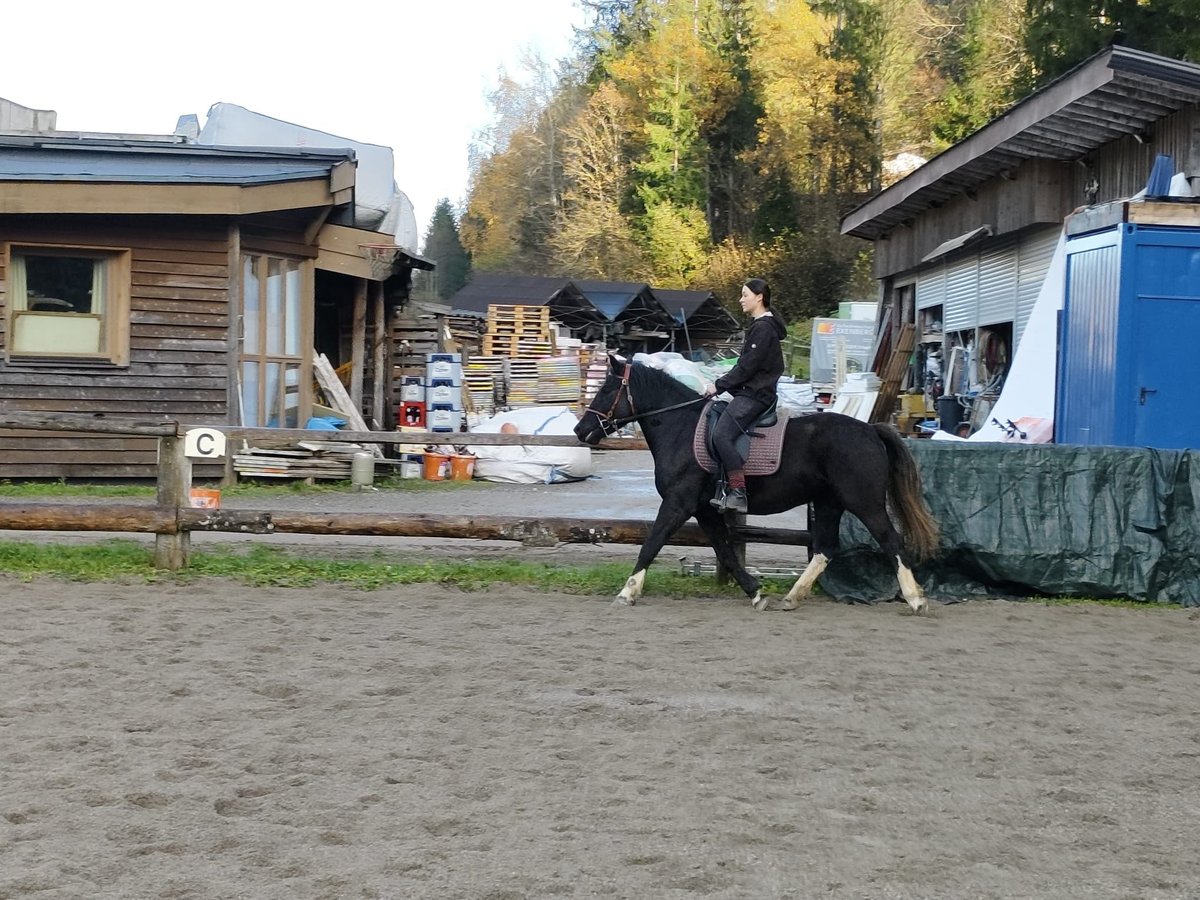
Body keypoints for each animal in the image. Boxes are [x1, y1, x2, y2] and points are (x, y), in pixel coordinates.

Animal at [571, 357, 936, 614]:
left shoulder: (679, 503)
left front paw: (627, 592)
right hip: (828, 503)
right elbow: (726, 553)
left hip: (864, 502)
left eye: (606, 390)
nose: (580, 430)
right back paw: (792, 597)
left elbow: (652, 542)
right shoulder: (704, 510)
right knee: (825, 550)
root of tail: (870, 430)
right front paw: (756, 593)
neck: (681, 428)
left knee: (891, 542)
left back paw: (916, 599)